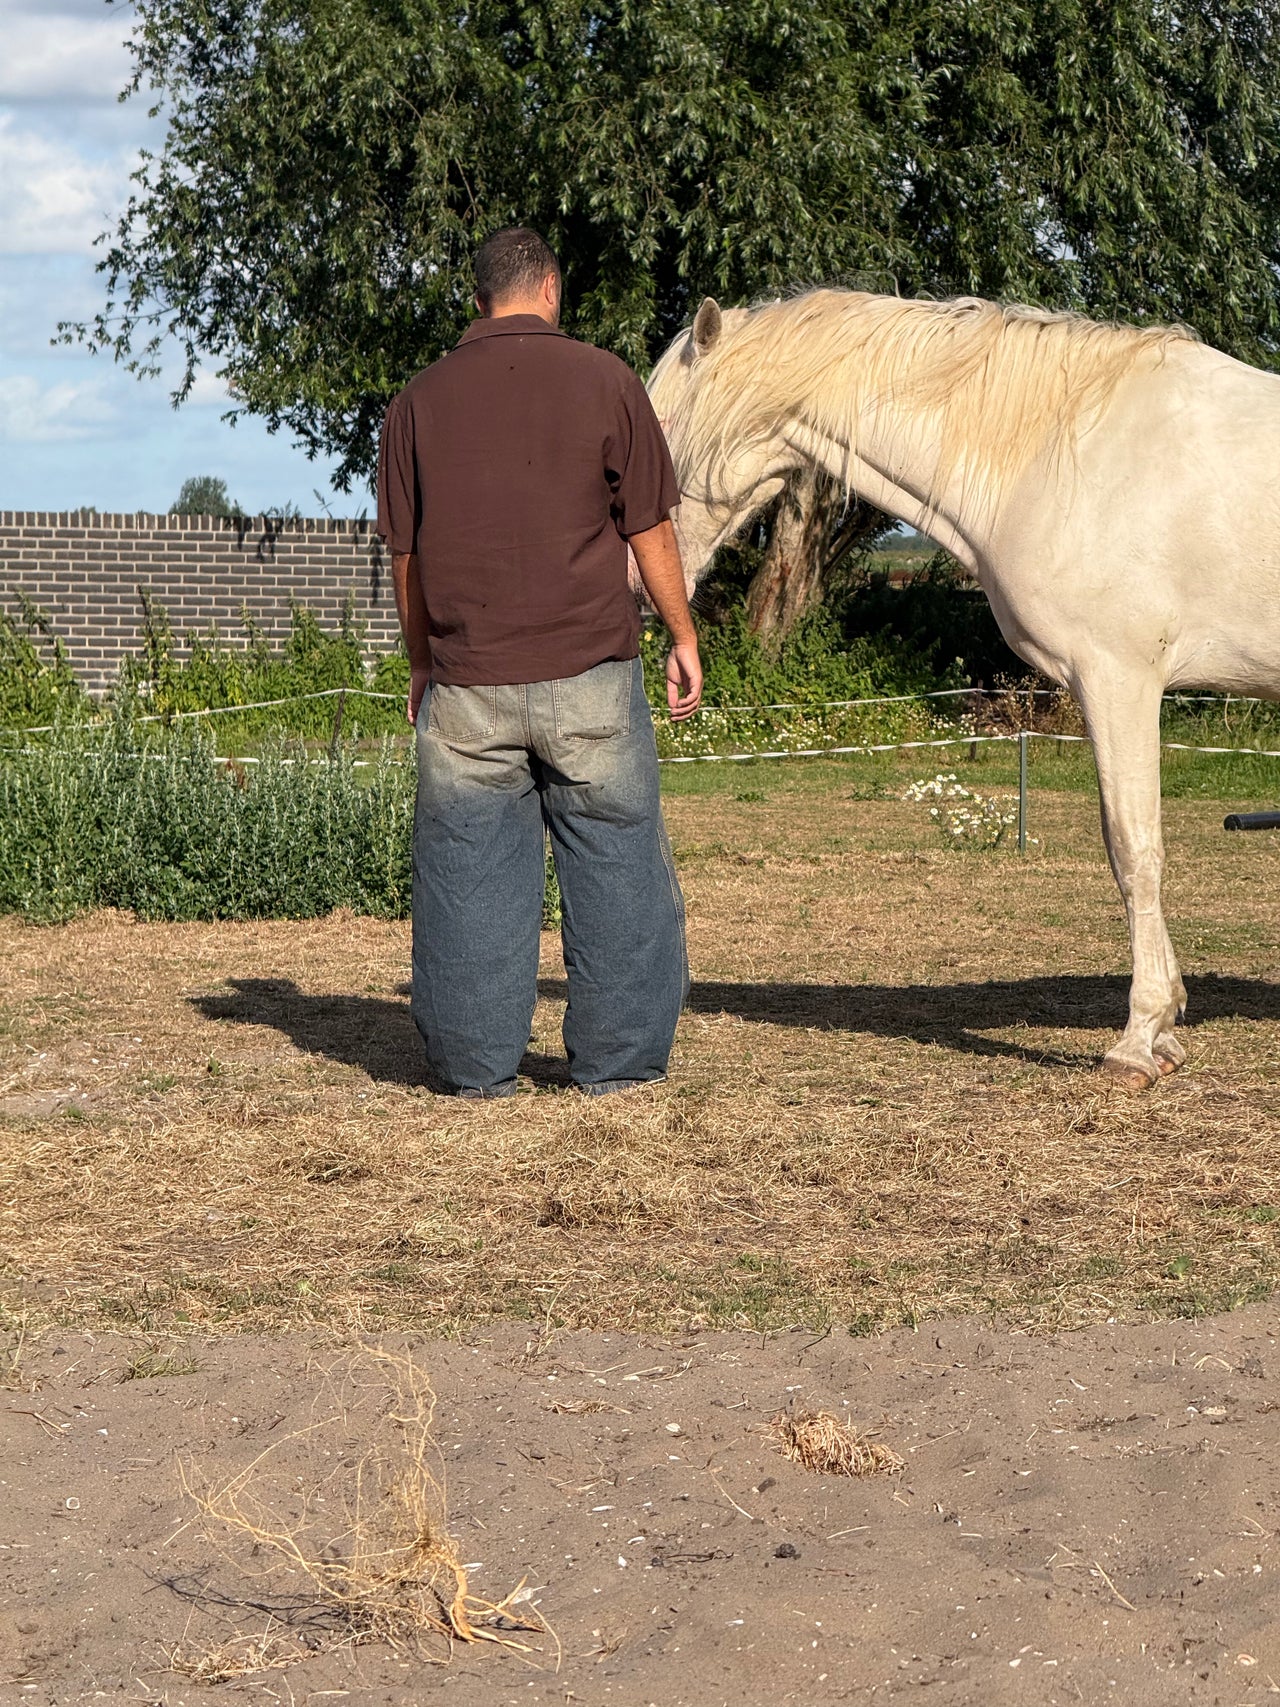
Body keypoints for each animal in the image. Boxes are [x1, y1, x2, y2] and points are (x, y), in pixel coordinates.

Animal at [647, 288, 1280, 1088]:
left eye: (656, 428)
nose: (638, 583)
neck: (1063, 451)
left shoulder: (1119, 679)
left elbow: (1135, 851)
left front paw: (1139, 1039)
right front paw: (1165, 1031)